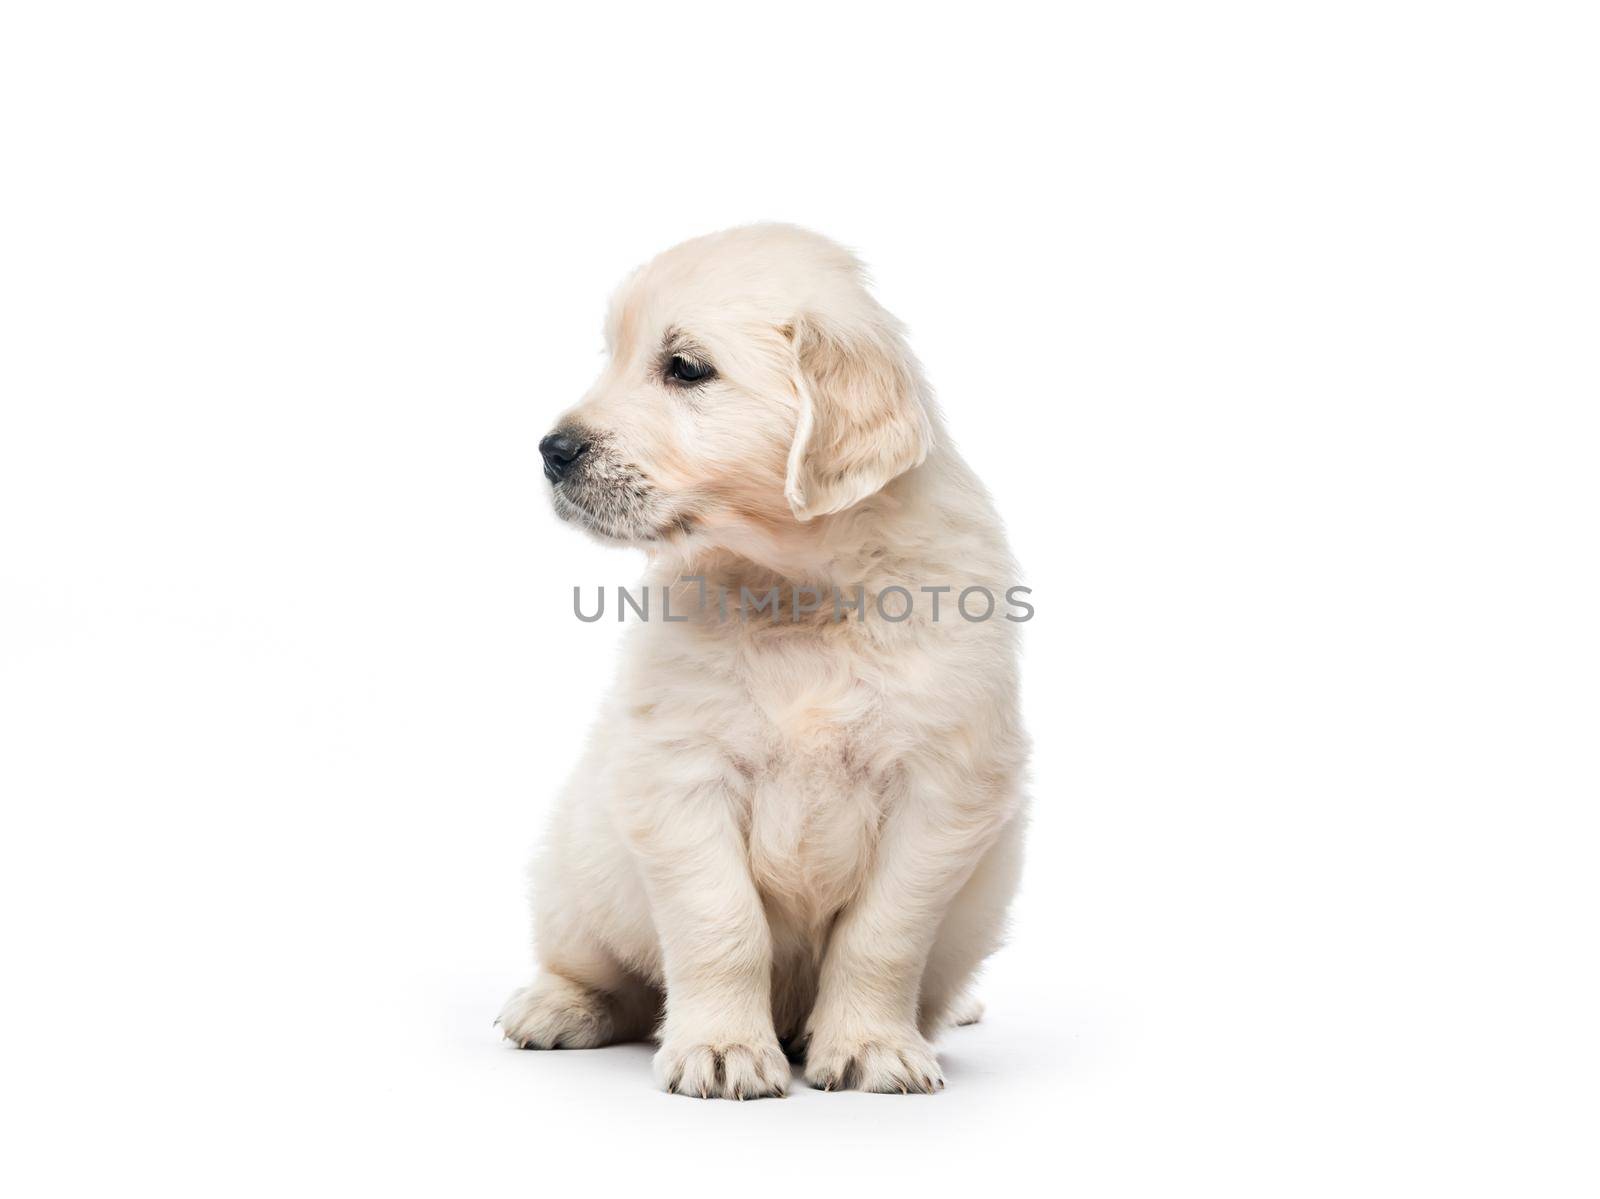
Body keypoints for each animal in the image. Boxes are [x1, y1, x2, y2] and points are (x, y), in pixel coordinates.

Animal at [492, 224, 1030, 1094]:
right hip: (577, 874)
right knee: (601, 969)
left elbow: (883, 935)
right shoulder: (679, 776)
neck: (796, 594)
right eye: (614, 355)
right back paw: (558, 1005)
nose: (552, 449)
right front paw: (721, 1046)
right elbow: (722, 922)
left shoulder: (943, 792)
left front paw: (872, 1044)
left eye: (685, 367)